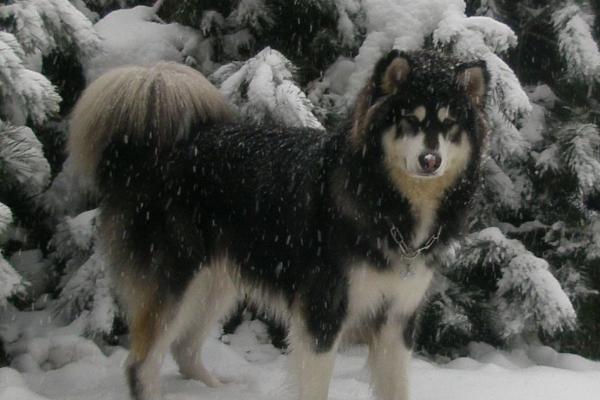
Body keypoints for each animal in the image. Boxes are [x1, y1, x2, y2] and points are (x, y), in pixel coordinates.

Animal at [69, 50, 488, 400]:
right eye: (409, 120)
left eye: (450, 124)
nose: (430, 160)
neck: (385, 202)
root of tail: (145, 155)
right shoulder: (322, 313)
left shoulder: (398, 319)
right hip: (174, 279)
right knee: (141, 364)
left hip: (214, 282)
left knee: (183, 348)